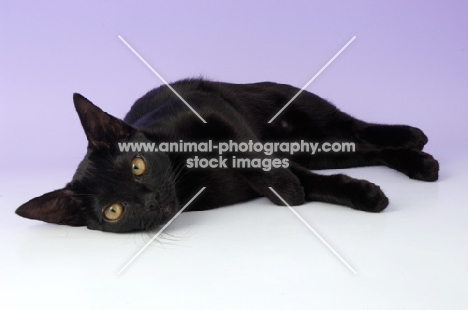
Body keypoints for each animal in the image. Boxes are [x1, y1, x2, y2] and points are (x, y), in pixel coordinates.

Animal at [14, 78, 438, 231]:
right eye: (114, 210)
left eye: (138, 165)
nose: (150, 201)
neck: (189, 180)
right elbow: (310, 185)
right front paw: (360, 194)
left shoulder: (210, 108)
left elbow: (245, 151)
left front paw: (283, 186)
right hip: (319, 150)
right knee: (364, 148)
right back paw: (414, 159)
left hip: (307, 109)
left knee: (356, 127)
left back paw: (413, 140)